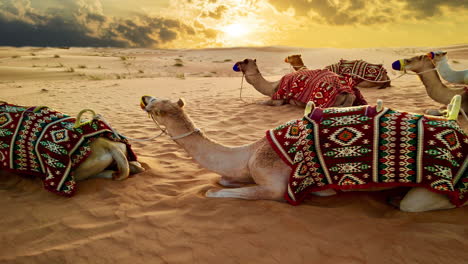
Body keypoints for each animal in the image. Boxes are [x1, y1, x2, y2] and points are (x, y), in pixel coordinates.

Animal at [140, 95, 468, 212]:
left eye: (159, 108)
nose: (144, 98)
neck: (249, 152)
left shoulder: (274, 185)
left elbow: (214, 191)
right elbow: (223, 180)